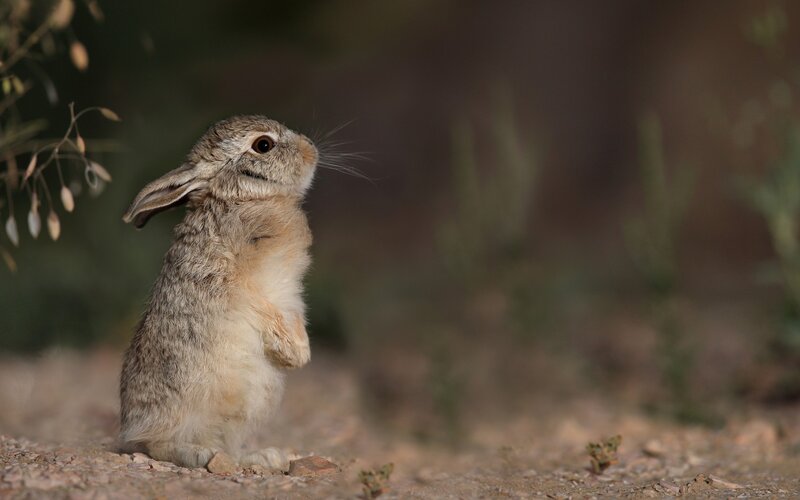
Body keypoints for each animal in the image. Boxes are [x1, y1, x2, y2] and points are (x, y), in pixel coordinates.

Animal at [119, 115, 318, 471]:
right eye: (263, 145)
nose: (311, 150)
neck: (244, 198)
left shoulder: (290, 297)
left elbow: (293, 316)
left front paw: (298, 354)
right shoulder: (238, 285)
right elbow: (261, 308)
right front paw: (295, 354)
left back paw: (262, 456)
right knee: (156, 445)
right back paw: (199, 454)